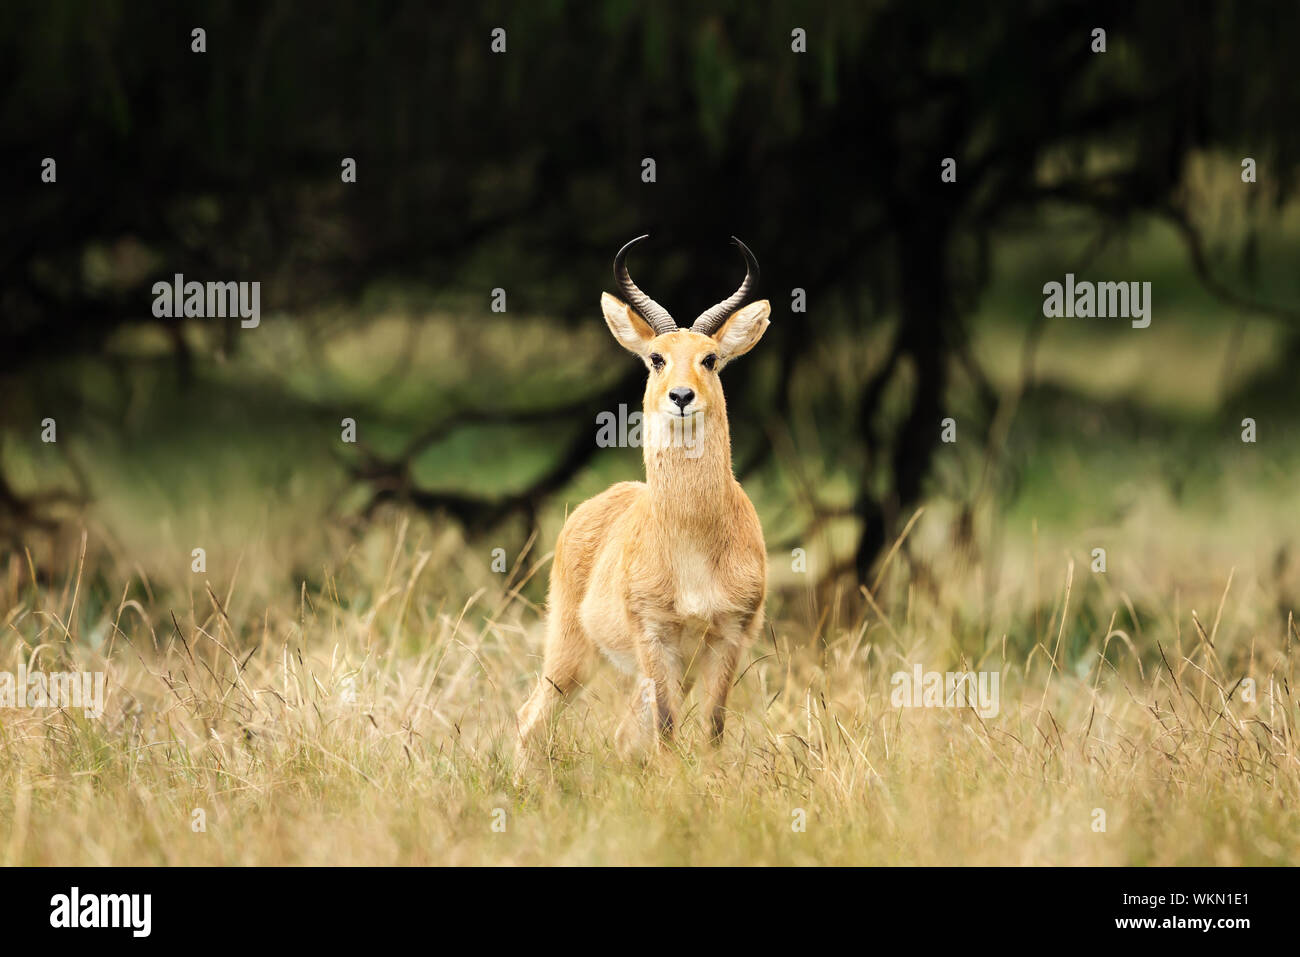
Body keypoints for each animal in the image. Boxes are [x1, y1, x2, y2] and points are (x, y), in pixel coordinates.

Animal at [512, 235, 764, 764]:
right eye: (656, 358)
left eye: (710, 358)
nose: (682, 396)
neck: (692, 543)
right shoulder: (654, 636)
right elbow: (667, 730)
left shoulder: (727, 637)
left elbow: (712, 730)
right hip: (571, 652)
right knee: (530, 719)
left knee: (623, 735)